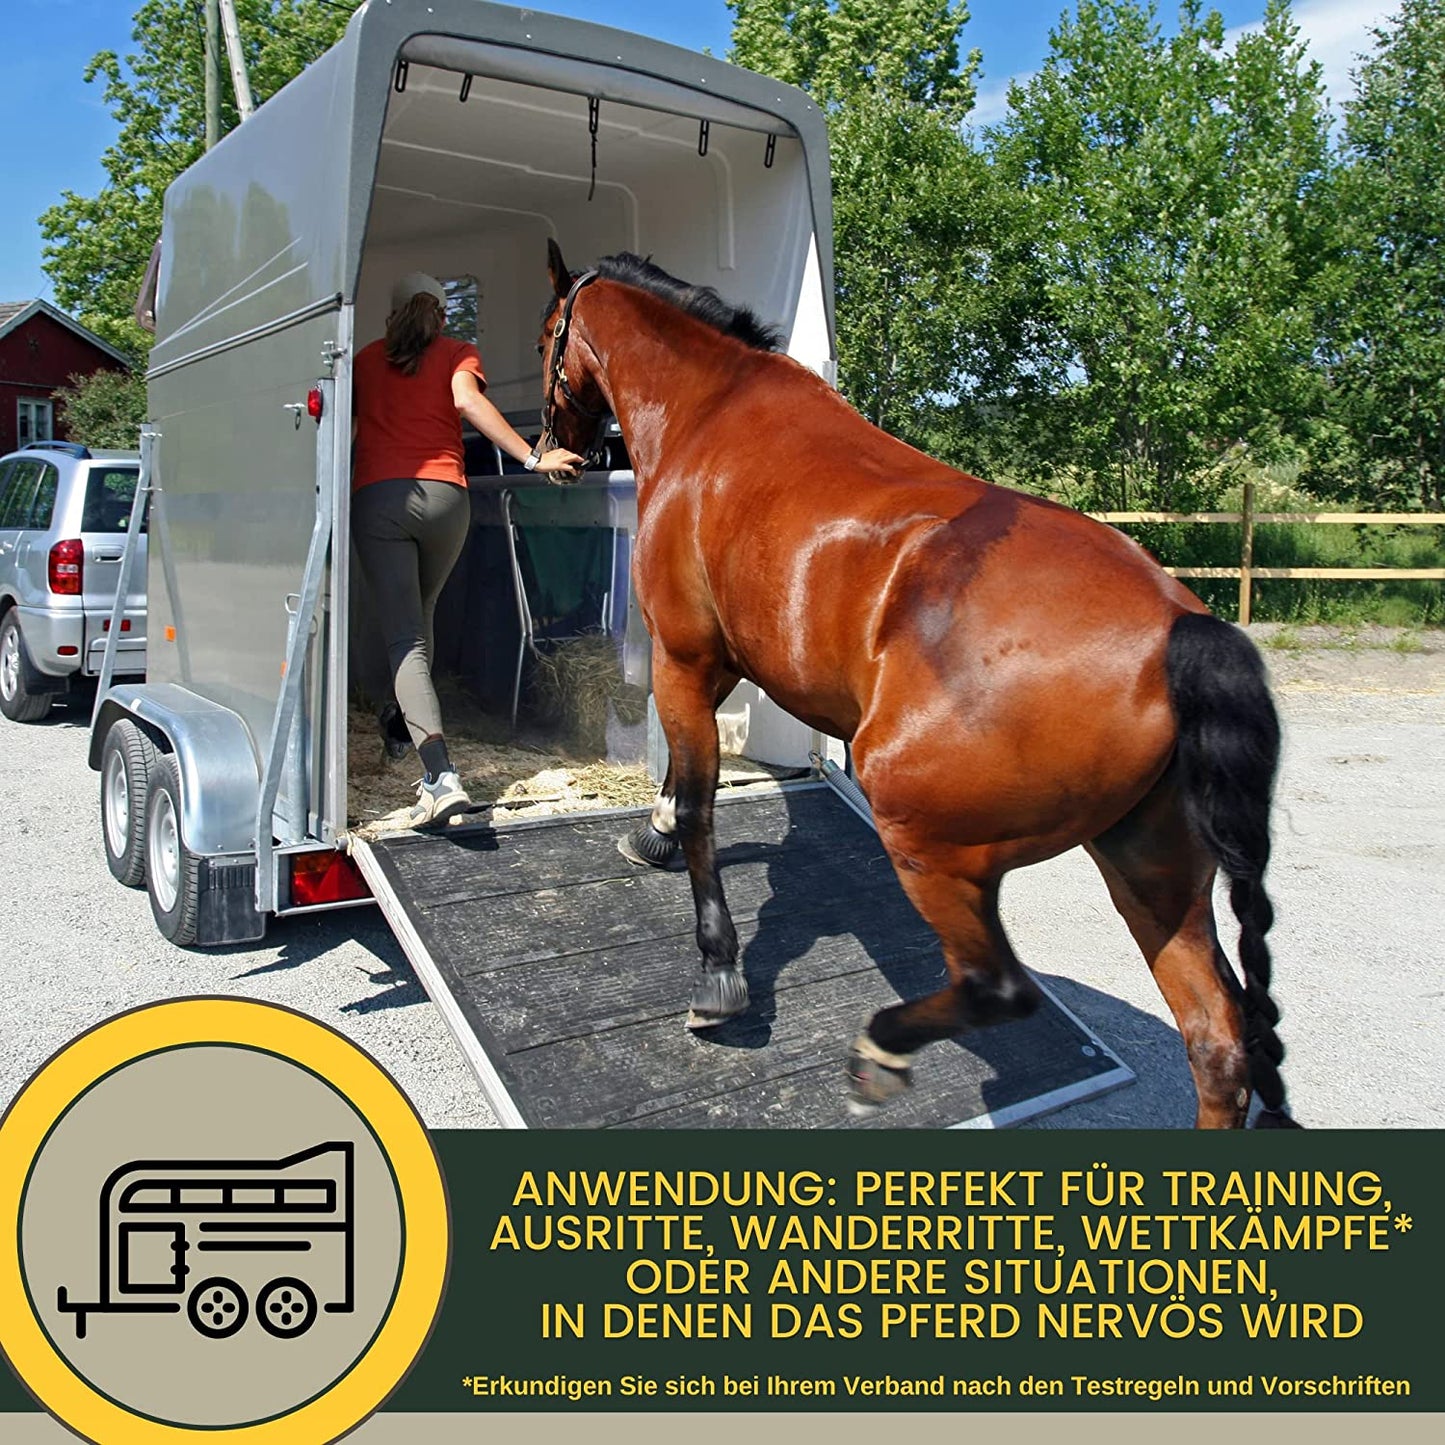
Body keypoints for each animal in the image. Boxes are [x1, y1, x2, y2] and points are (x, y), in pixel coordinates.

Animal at [535, 239, 1298, 1129]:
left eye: (548, 333)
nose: (553, 451)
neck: (712, 413)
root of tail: (1182, 628)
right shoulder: (717, 662)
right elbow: (681, 790)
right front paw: (650, 834)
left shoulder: (683, 658)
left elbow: (697, 803)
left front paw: (718, 971)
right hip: (1152, 871)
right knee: (1218, 1043)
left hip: (930, 841)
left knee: (998, 988)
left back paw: (880, 1048)